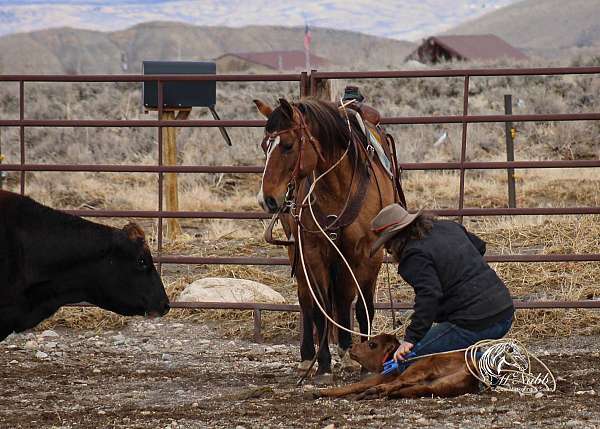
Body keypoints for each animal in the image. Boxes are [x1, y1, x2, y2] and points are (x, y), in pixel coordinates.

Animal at [252, 98, 404, 378]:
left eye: (288, 145)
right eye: (264, 146)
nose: (266, 199)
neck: (338, 187)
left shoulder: (368, 253)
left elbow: (361, 305)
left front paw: (363, 361)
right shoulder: (312, 250)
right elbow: (320, 305)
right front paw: (323, 363)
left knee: (342, 297)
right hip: (296, 249)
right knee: (306, 298)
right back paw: (307, 357)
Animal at [314, 332, 478, 400]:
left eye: (372, 344)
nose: (351, 347)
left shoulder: (379, 378)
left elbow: (353, 386)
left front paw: (321, 392)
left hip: (419, 368)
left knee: (397, 383)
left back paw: (372, 392)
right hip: (437, 385)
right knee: (406, 388)